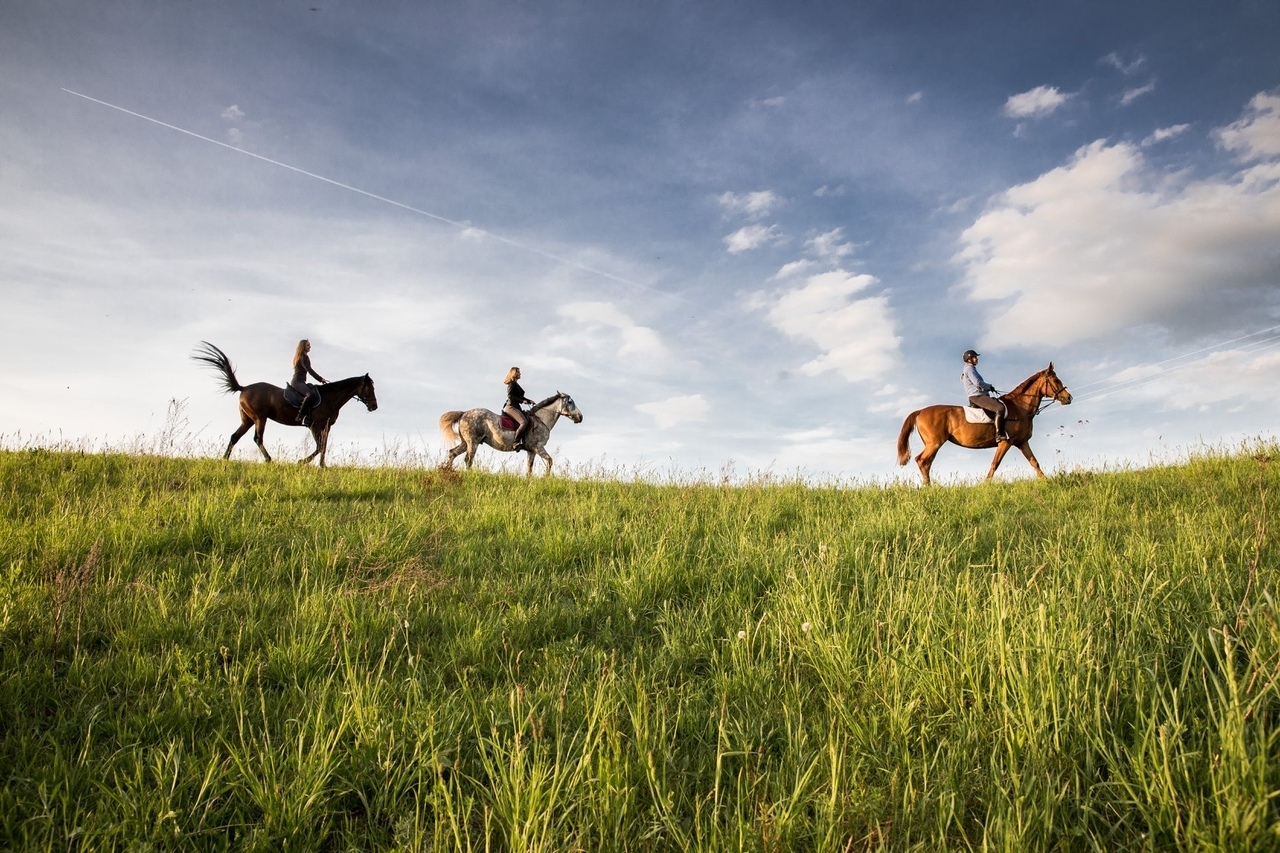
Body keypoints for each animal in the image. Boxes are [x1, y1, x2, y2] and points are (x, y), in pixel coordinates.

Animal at [189, 340, 376, 468]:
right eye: (369, 388)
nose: (374, 406)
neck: (330, 398)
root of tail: (243, 388)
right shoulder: (314, 425)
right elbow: (319, 446)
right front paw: (302, 462)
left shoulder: (326, 426)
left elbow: (323, 446)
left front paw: (323, 466)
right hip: (260, 418)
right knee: (257, 438)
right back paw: (268, 460)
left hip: (247, 419)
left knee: (235, 436)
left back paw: (224, 459)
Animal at [437, 389, 583, 471]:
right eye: (570, 402)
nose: (580, 417)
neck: (542, 420)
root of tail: (464, 413)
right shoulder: (538, 447)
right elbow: (549, 461)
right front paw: (546, 478)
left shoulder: (531, 450)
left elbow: (529, 468)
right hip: (473, 442)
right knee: (468, 459)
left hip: (465, 442)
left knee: (453, 453)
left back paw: (447, 471)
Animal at [901, 361, 1070, 484]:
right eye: (1056, 380)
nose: (1069, 398)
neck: (1020, 407)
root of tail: (921, 411)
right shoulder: (1005, 442)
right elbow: (995, 464)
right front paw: (985, 485)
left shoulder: (1022, 442)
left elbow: (1034, 462)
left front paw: (1046, 481)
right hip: (934, 443)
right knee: (922, 461)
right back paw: (929, 487)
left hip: (933, 444)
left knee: (926, 463)